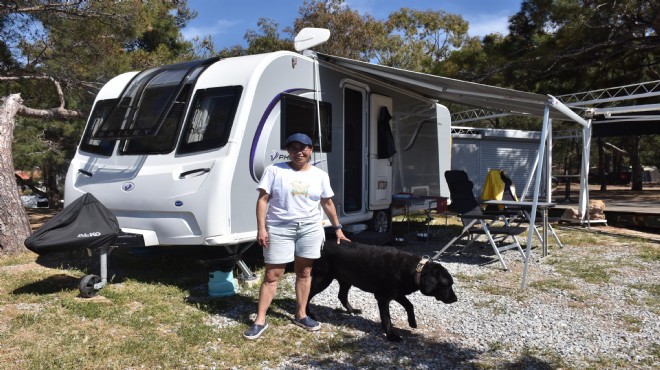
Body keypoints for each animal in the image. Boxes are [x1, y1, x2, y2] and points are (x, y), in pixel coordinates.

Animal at [306, 240, 456, 342]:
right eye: (447, 285)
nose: (455, 299)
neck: (414, 270)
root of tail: (322, 244)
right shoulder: (383, 297)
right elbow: (387, 318)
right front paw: (391, 335)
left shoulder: (396, 293)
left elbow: (409, 305)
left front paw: (412, 322)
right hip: (323, 278)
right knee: (307, 295)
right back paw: (309, 314)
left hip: (346, 279)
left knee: (341, 296)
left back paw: (352, 310)